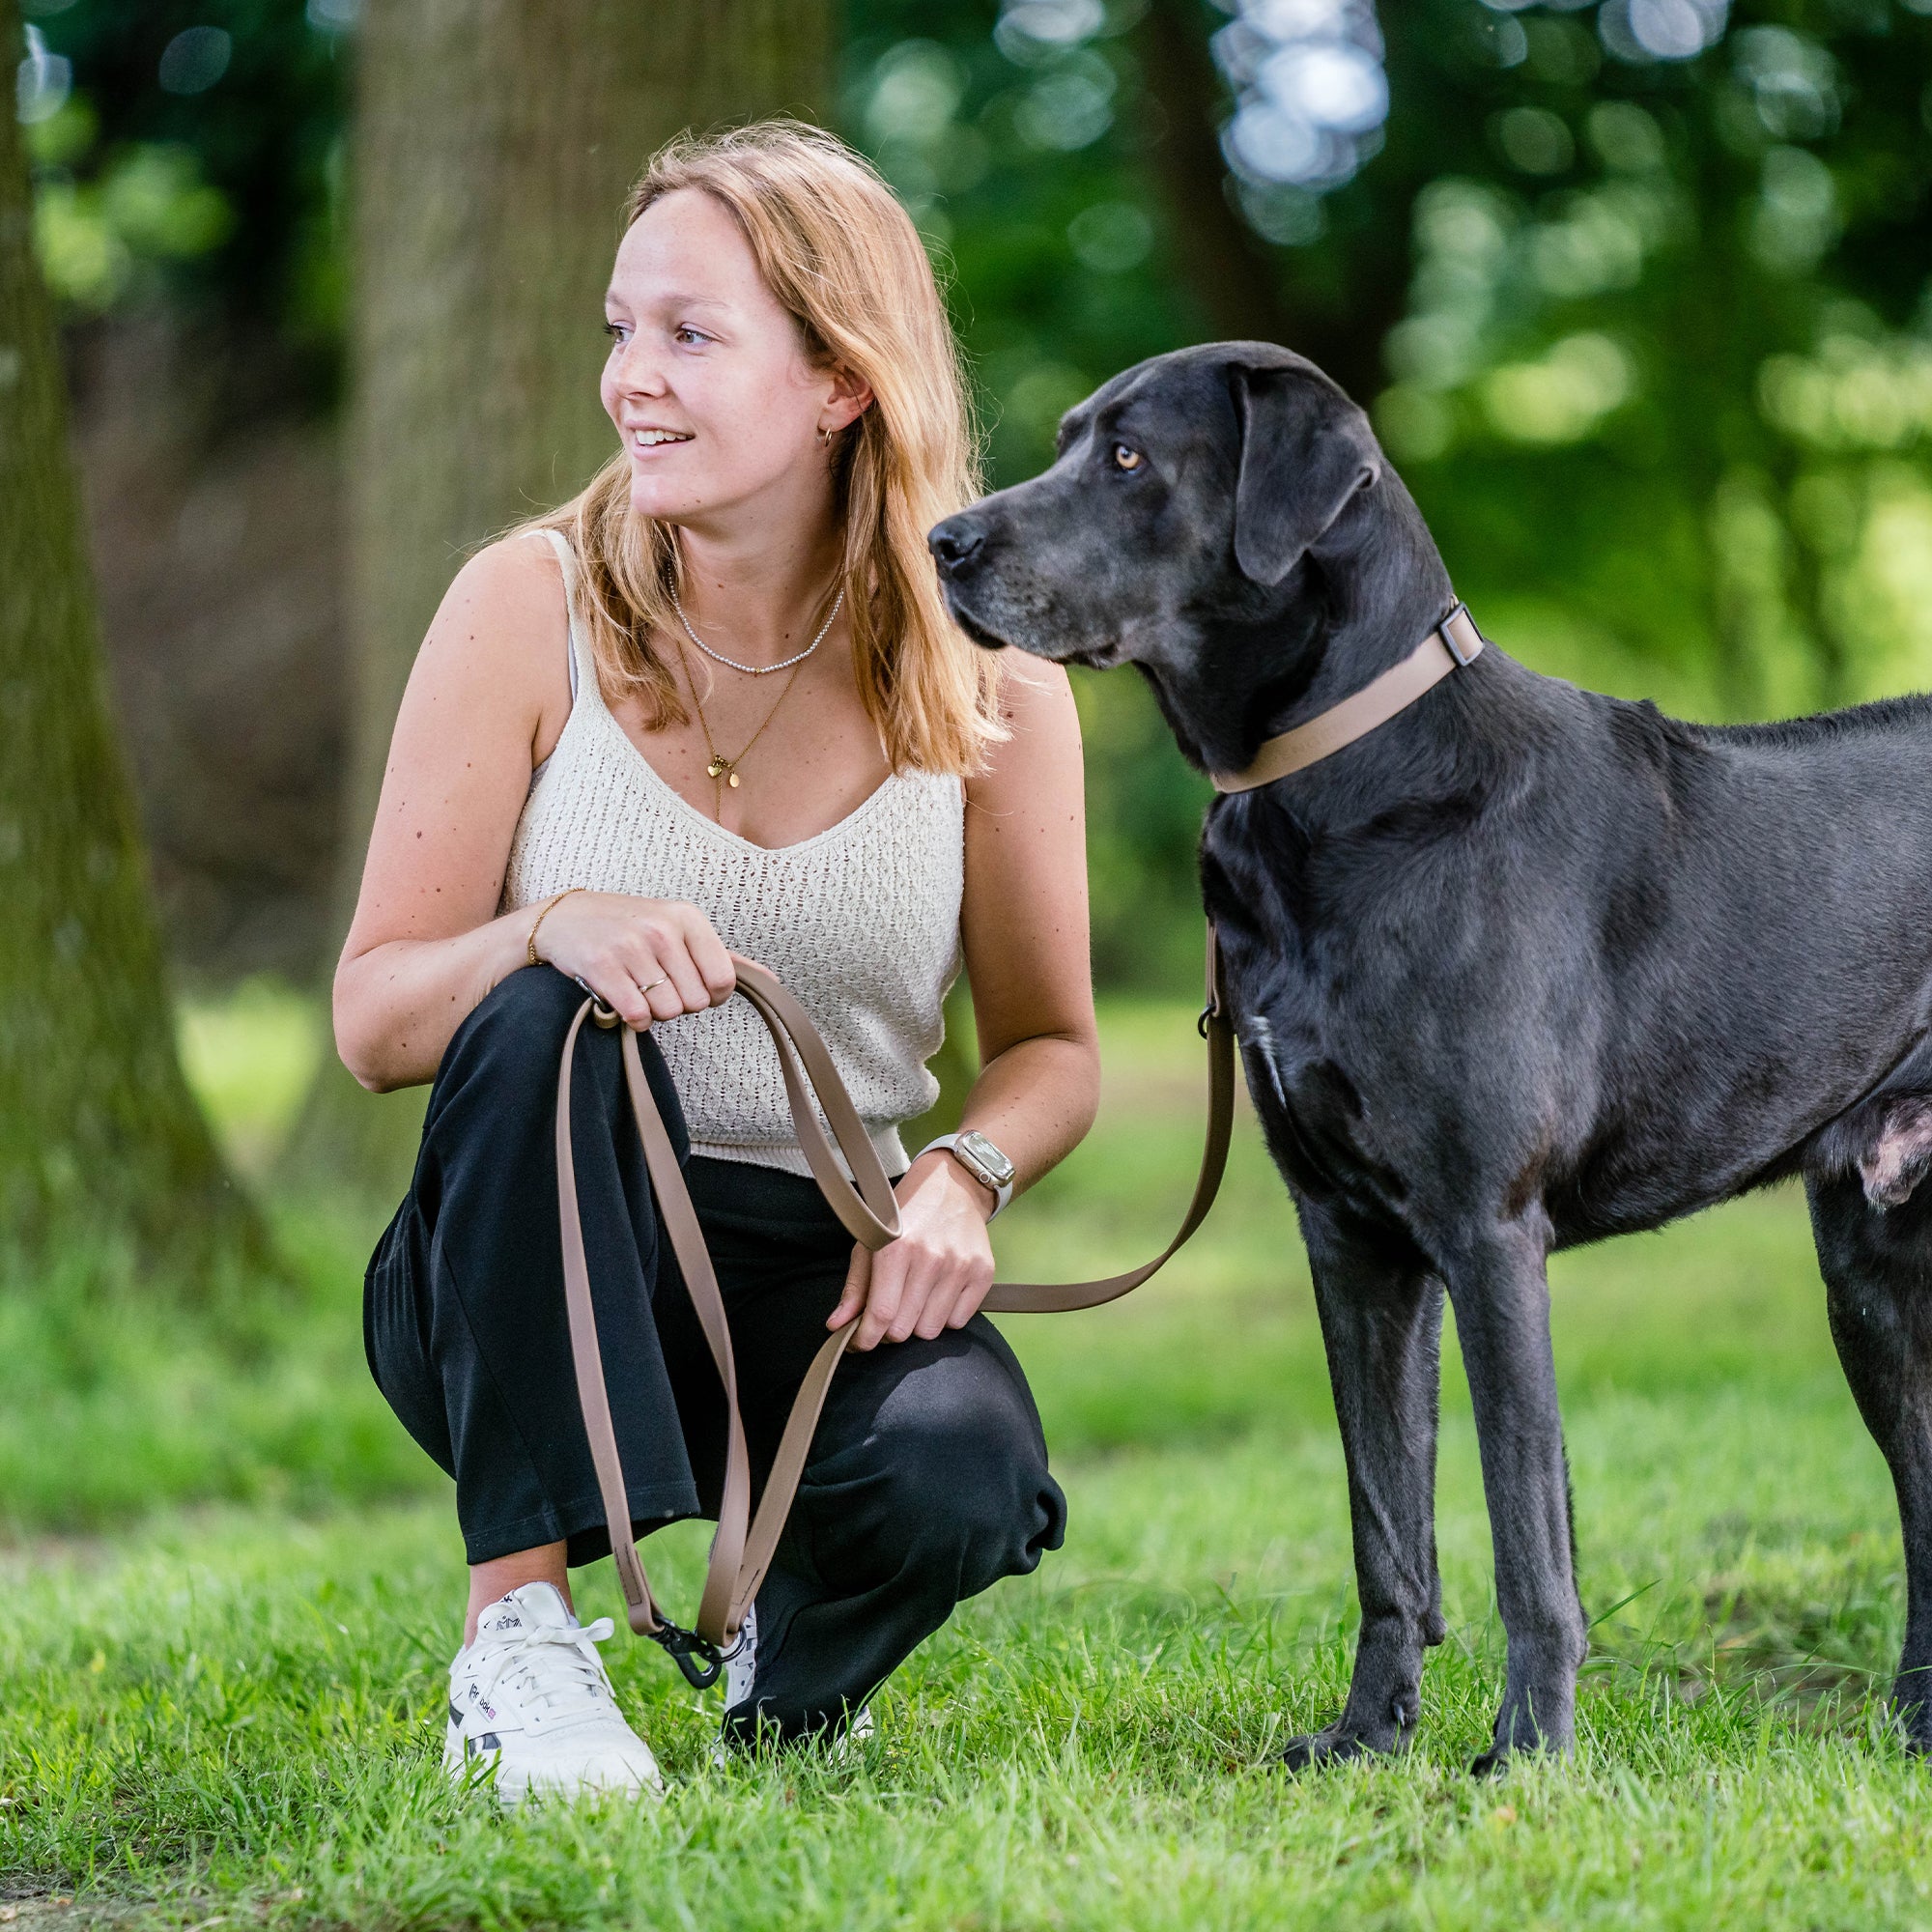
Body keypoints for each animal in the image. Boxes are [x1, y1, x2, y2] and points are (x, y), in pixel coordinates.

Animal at [927, 344, 1932, 1770]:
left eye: (1127, 457)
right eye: (1068, 438)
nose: (943, 542)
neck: (1338, 774)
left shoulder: (1486, 1230)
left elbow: (1526, 1532)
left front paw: (1528, 1751)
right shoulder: (1351, 1243)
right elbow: (1385, 1523)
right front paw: (1366, 1738)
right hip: (1869, 1269)